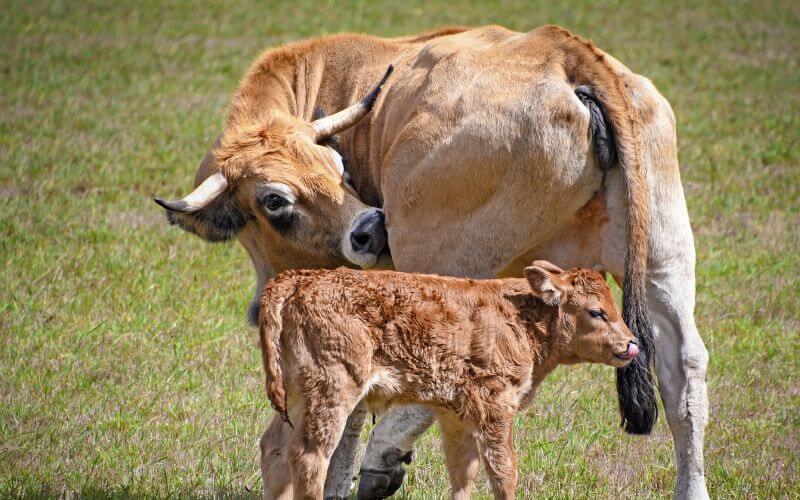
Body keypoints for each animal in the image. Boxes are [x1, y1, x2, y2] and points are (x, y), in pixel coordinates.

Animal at [260, 260, 640, 498]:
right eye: (596, 312)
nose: (631, 343)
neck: (521, 316)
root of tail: (301, 279)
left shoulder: (455, 415)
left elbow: (463, 472)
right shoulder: (496, 408)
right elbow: (503, 472)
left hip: (299, 396)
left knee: (274, 448)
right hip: (332, 392)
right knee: (309, 458)